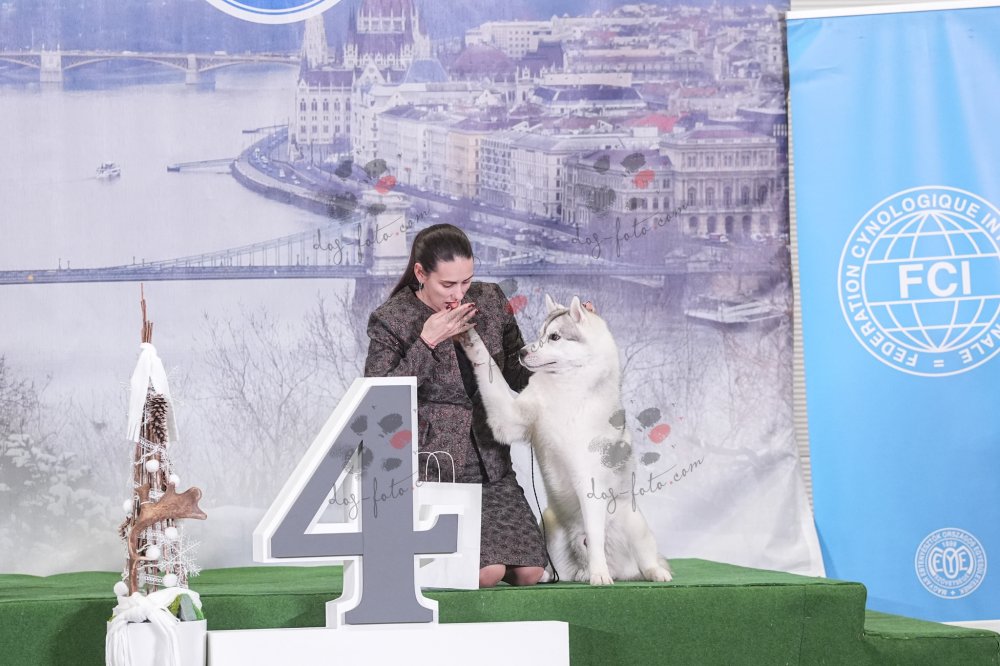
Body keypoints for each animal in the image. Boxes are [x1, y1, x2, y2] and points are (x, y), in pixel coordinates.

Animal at [459, 294, 672, 585]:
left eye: (555, 337)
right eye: (540, 334)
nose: (522, 352)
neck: (567, 390)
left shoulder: (590, 485)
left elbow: (595, 536)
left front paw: (599, 574)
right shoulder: (510, 418)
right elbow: (489, 365)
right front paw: (470, 338)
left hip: (634, 523)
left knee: (646, 557)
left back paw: (650, 572)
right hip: (547, 525)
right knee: (553, 564)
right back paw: (549, 574)